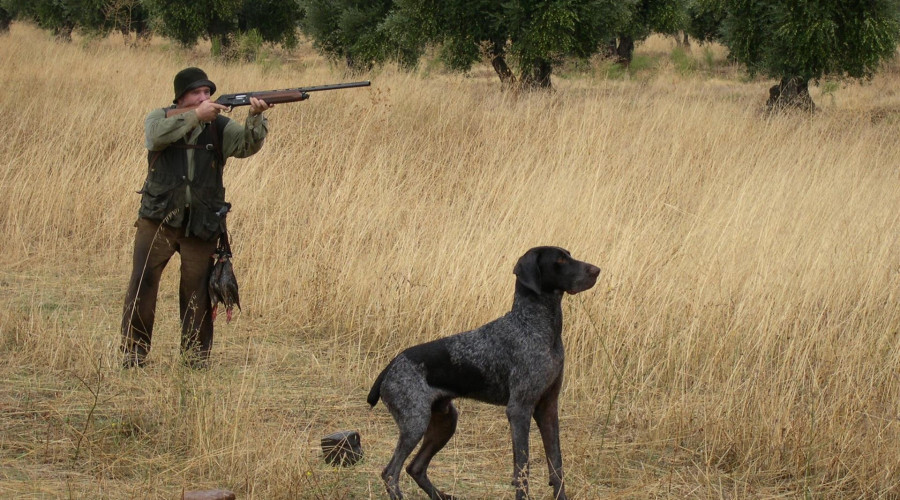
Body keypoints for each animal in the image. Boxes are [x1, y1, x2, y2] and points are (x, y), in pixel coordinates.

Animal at [366, 246, 596, 500]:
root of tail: (392, 365)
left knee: (415, 467)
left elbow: (556, 465)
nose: (597, 270)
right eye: (560, 260)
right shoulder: (519, 410)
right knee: (391, 472)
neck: (535, 325)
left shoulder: (548, 408)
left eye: (568, 255)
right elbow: (522, 468)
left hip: (445, 421)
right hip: (414, 423)